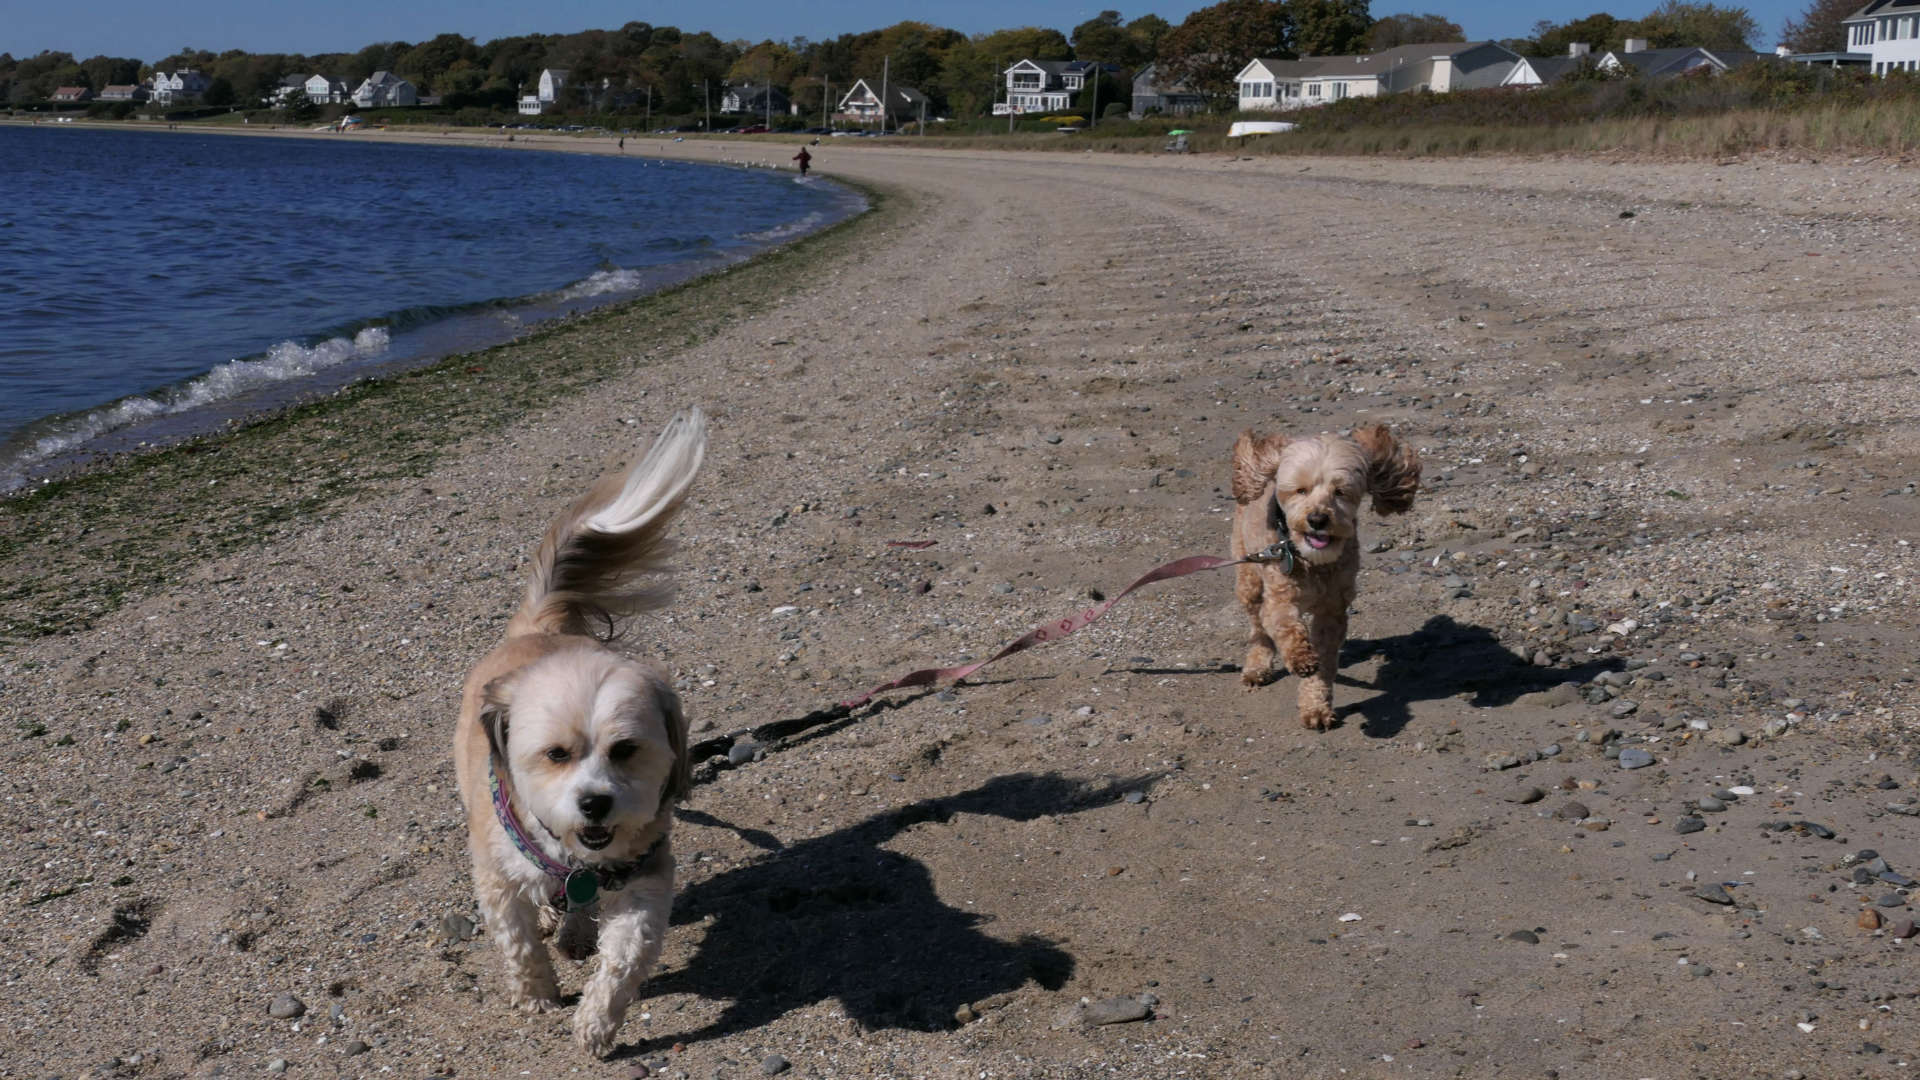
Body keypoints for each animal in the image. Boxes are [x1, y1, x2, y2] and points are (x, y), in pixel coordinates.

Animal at [455, 407, 706, 1053]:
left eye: (625, 750)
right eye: (555, 754)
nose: (594, 802)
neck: (575, 856)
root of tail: (539, 626)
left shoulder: (643, 884)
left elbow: (623, 959)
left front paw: (597, 1022)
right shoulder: (498, 879)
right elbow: (518, 943)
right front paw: (537, 995)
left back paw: (572, 928)